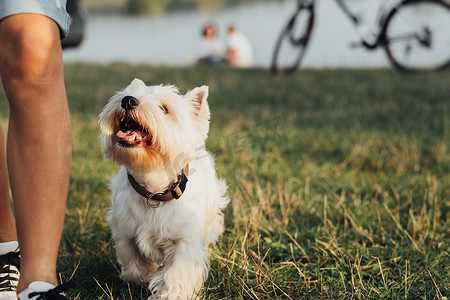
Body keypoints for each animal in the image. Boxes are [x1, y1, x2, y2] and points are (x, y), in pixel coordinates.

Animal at [98, 78, 229, 298]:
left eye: (164, 109)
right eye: (128, 93)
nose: (128, 100)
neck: (153, 191)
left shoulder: (184, 242)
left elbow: (176, 275)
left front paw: (168, 294)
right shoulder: (125, 232)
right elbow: (132, 264)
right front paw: (142, 279)